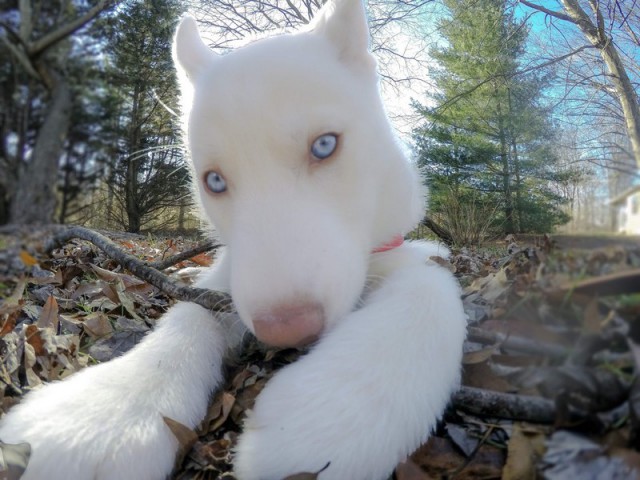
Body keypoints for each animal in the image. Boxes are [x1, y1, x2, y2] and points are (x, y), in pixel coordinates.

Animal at [0, 1, 464, 478]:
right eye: (215, 181)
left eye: (325, 145)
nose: (287, 328)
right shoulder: (228, 277)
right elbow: (190, 313)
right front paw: (108, 410)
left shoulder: (405, 251)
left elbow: (429, 286)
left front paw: (331, 411)